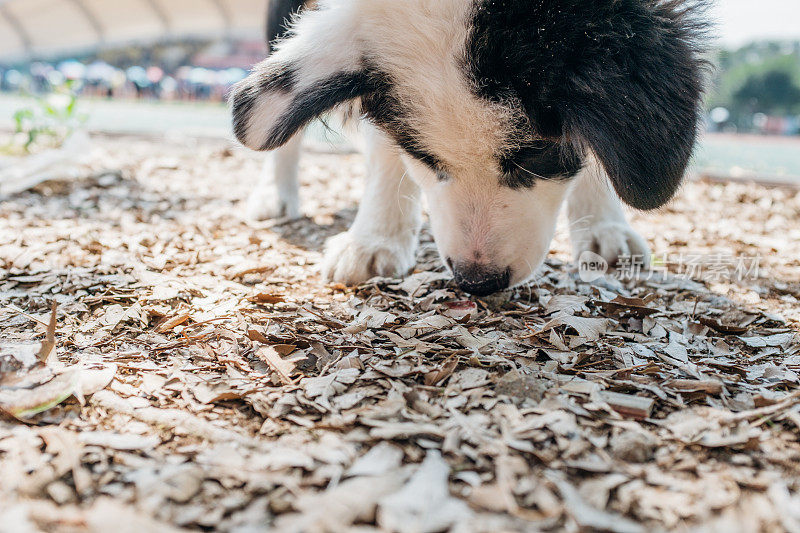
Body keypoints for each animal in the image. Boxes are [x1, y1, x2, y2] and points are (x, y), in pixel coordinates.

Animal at [231, 0, 708, 296]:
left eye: (534, 154)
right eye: (424, 157)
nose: (477, 281)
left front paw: (604, 226)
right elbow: (386, 146)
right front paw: (375, 238)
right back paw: (275, 192)